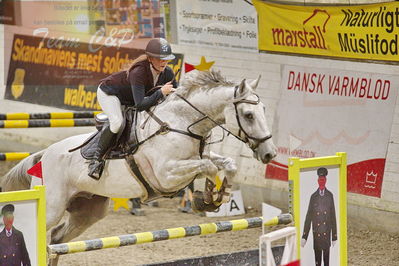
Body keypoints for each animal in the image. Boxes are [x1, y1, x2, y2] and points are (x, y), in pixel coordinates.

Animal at [0, 70, 276, 262]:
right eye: (249, 115)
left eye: (264, 109)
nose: (269, 154)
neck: (182, 123)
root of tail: (43, 155)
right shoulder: (166, 175)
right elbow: (207, 166)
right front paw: (207, 198)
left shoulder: (195, 159)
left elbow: (226, 164)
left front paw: (217, 196)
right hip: (52, 207)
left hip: (89, 210)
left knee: (57, 239)